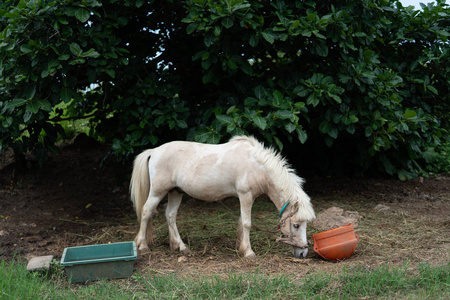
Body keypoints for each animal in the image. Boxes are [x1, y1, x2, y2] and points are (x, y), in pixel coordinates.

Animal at [128, 135, 314, 258]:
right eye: (296, 225)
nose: (303, 252)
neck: (257, 165)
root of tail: (154, 151)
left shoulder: (247, 198)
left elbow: (241, 222)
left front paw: (241, 247)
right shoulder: (245, 195)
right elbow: (247, 224)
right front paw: (249, 252)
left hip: (175, 192)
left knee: (170, 215)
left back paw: (181, 247)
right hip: (157, 192)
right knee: (146, 212)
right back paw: (143, 246)